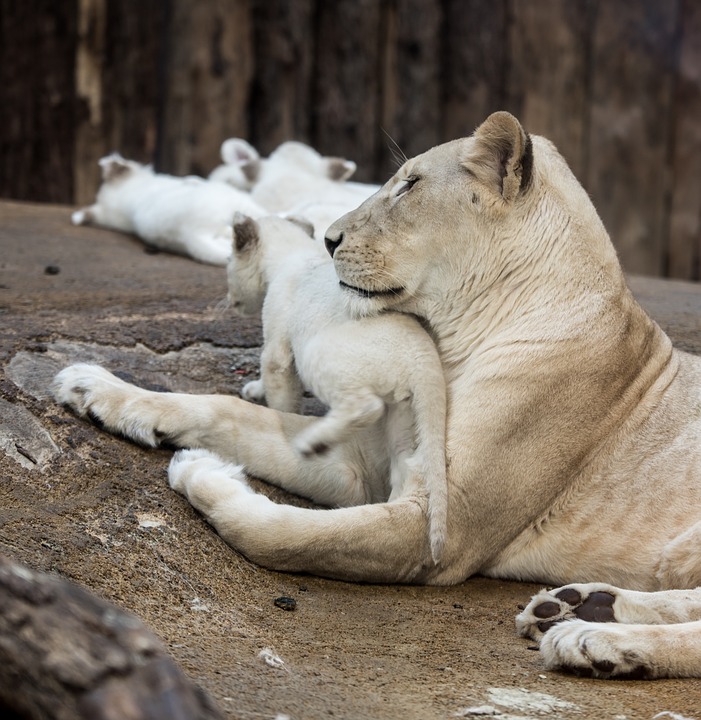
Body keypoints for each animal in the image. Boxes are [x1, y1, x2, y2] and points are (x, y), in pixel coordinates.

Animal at [53, 114, 700, 680]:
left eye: (410, 185)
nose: (328, 237)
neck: (448, 342)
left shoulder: (443, 529)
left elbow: (290, 536)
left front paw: (202, 475)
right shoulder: (360, 469)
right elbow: (228, 412)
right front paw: (97, 389)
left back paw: (596, 640)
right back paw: (576, 606)